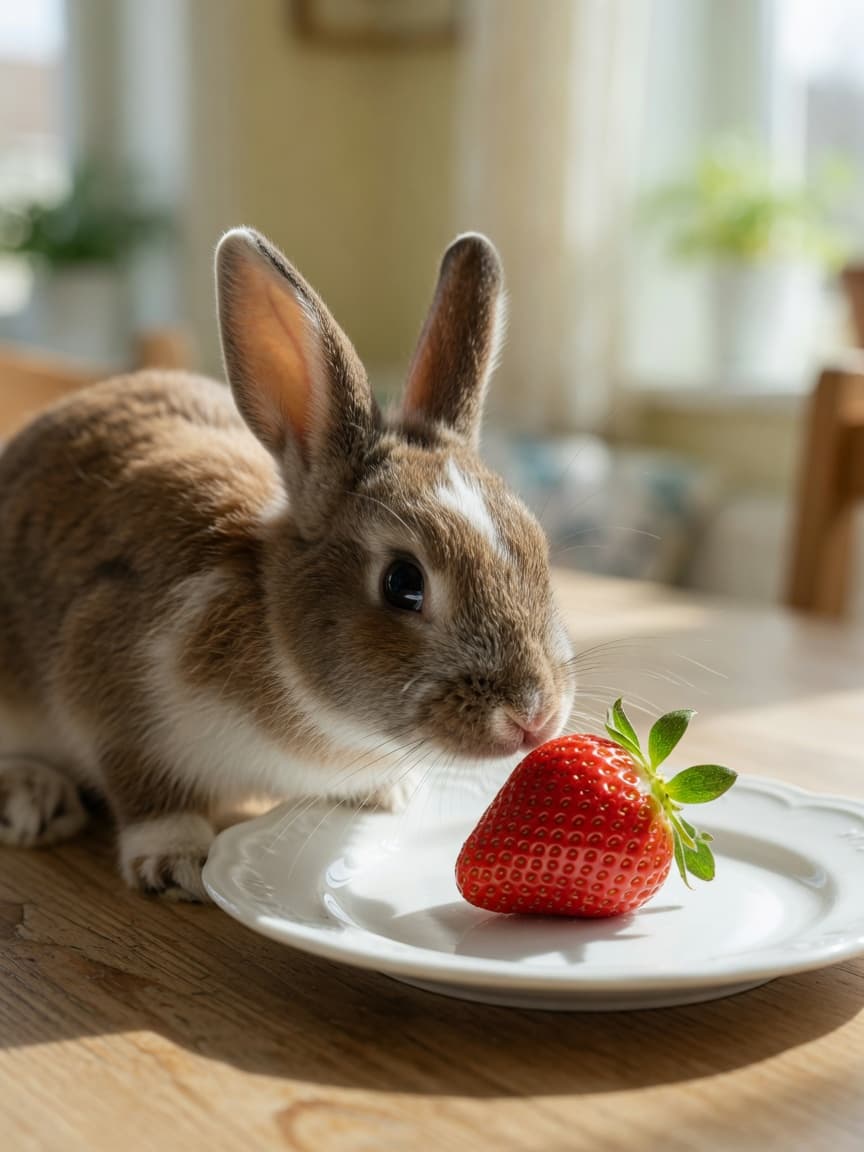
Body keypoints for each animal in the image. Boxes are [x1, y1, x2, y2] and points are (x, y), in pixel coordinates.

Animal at [0, 228, 575, 900]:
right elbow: (146, 790)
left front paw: (386, 792)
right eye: (403, 583)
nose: (534, 718)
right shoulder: (107, 674)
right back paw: (36, 798)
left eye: (537, 547)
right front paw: (174, 862)